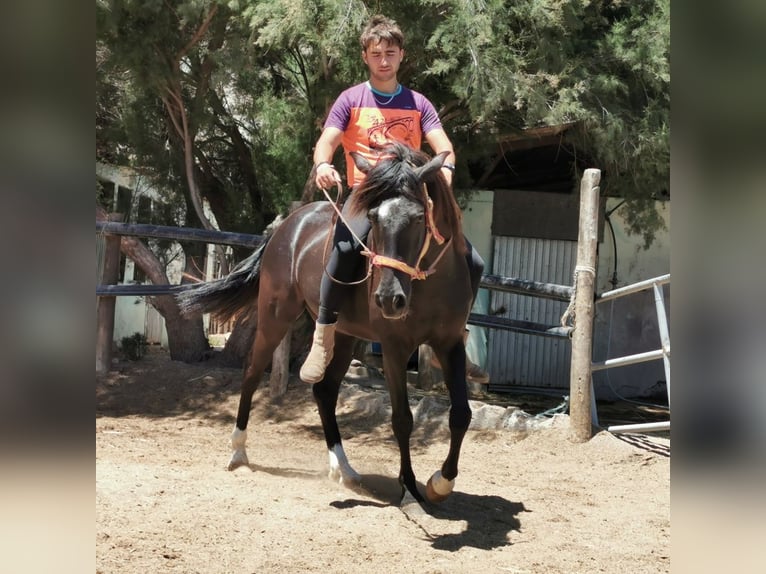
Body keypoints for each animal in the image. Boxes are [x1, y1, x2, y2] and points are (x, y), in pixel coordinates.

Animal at [182, 143, 480, 504]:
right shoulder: (395, 348)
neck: (427, 285)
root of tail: (289, 224)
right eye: (373, 218)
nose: (388, 299)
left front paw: (441, 483)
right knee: (252, 371)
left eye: (419, 217)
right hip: (276, 314)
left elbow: (461, 413)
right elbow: (402, 419)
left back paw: (344, 469)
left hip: (346, 334)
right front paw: (409, 489)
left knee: (324, 390)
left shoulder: (450, 343)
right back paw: (238, 452)